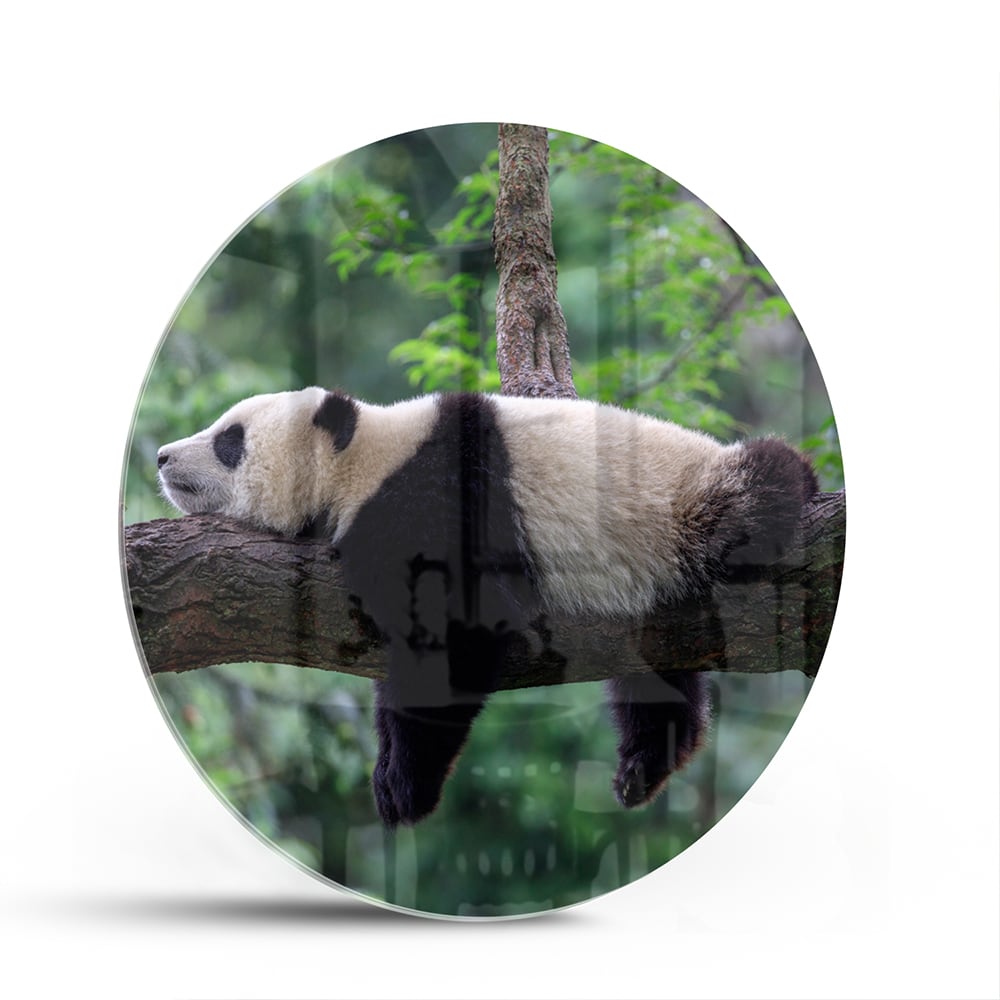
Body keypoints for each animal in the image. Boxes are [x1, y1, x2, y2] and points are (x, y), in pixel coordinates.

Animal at [157, 387, 817, 827]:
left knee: (761, 487)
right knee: (656, 675)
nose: (161, 456)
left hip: (687, 505)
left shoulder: (434, 502)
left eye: (230, 440)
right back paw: (645, 764)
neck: (362, 461)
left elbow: (457, 635)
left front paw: (405, 787)